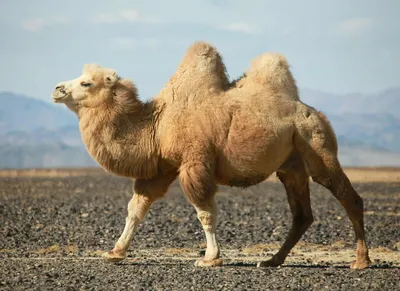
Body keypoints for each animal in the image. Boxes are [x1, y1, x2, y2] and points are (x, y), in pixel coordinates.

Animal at [50, 40, 372, 270]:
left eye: (86, 82)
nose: (57, 88)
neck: (157, 125)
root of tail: (313, 112)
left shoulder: (196, 161)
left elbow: (204, 211)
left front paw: (210, 258)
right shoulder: (162, 168)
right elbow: (136, 208)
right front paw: (115, 252)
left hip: (315, 143)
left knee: (348, 196)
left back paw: (360, 261)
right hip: (291, 164)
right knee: (302, 214)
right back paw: (271, 260)